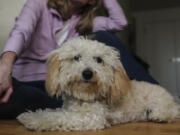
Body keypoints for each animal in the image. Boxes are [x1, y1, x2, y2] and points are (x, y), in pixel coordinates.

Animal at [17, 37, 180, 131]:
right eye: (76, 57)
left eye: (99, 60)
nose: (87, 73)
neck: (84, 96)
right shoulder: (69, 109)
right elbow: (52, 112)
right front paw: (31, 116)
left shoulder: (91, 118)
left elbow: (59, 117)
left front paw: (36, 121)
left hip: (160, 102)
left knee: (173, 112)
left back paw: (159, 116)